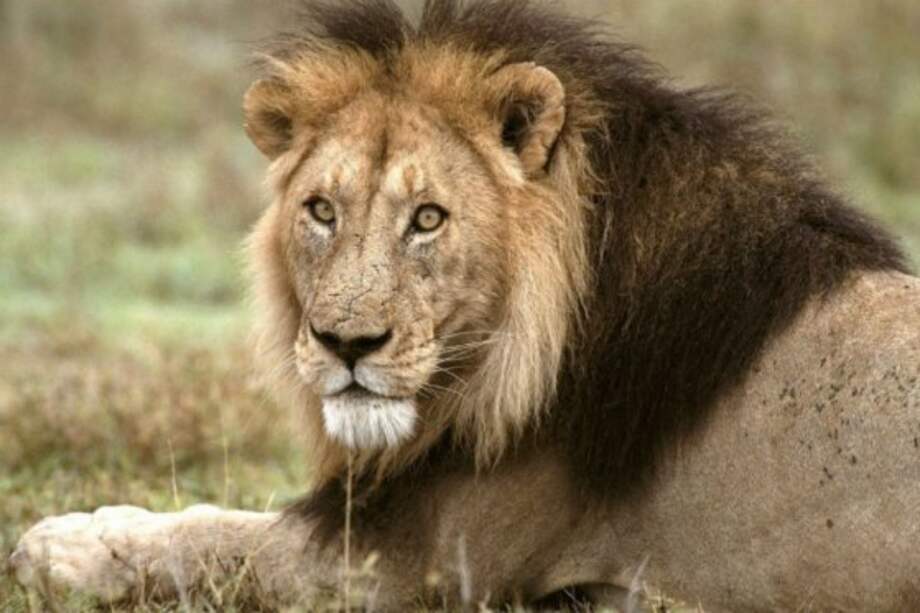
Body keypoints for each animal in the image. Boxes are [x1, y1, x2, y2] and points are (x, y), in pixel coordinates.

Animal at [10, 1, 920, 610]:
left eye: (428, 218)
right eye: (321, 210)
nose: (346, 343)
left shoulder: (420, 563)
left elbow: (216, 537)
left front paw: (60, 543)